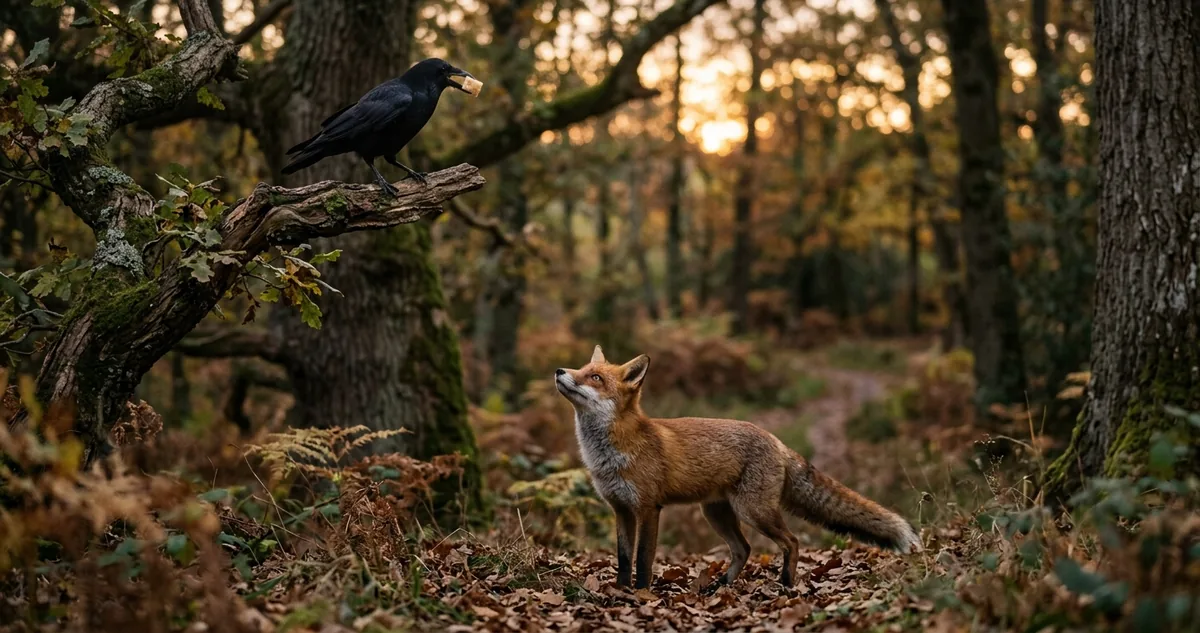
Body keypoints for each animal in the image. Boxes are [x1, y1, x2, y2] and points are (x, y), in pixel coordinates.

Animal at [554, 345, 922, 590]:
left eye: (595, 377)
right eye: (580, 369)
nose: (559, 371)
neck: (612, 452)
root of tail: (776, 440)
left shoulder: (648, 508)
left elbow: (643, 559)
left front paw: (642, 595)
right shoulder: (621, 509)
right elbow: (622, 558)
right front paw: (620, 593)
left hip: (753, 511)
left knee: (791, 541)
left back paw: (785, 584)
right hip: (717, 513)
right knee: (744, 549)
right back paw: (721, 586)